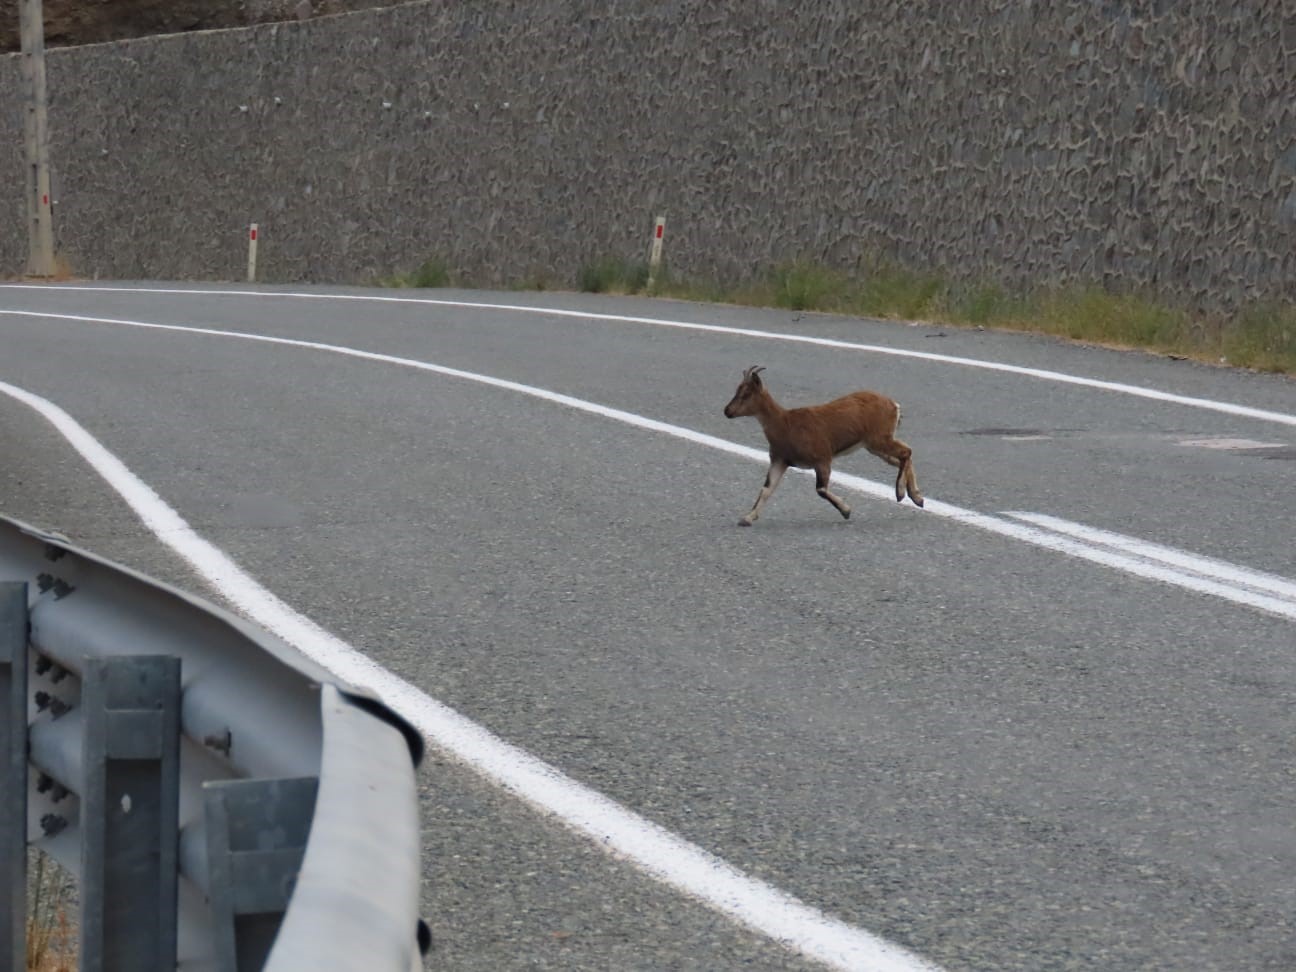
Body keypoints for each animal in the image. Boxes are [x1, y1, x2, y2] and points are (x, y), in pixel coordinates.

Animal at [725, 362, 927, 526]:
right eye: (737, 390)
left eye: (745, 394)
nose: (727, 411)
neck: (785, 425)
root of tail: (894, 405)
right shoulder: (780, 459)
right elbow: (767, 488)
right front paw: (747, 518)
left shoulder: (822, 457)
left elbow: (820, 489)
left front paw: (846, 511)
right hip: (873, 444)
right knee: (902, 456)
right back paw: (917, 497)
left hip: (879, 438)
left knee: (906, 451)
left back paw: (900, 493)